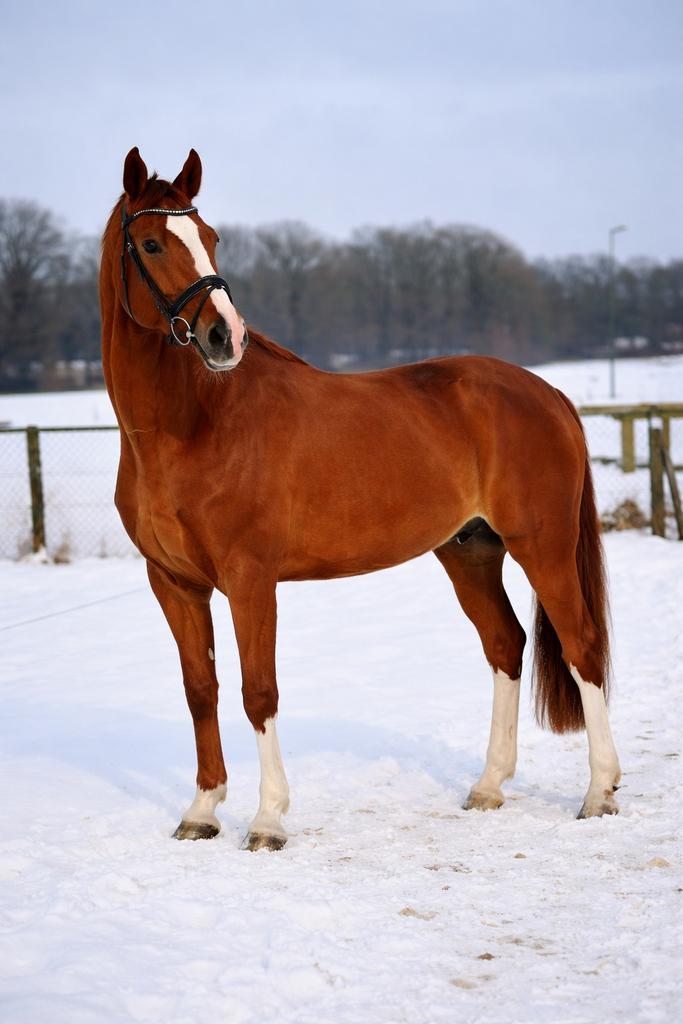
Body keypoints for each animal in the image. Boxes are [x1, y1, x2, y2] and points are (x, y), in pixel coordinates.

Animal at [99, 147, 621, 850]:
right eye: (152, 243)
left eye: (210, 237)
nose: (224, 337)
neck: (193, 423)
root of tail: (549, 394)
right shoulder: (174, 583)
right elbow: (201, 689)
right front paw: (202, 811)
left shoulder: (249, 578)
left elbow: (258, 691)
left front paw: (268, 820)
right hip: (470, 552)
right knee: (505, 645)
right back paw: (489, 787)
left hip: (543, 545)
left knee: (581, 646)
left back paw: (599, 793)